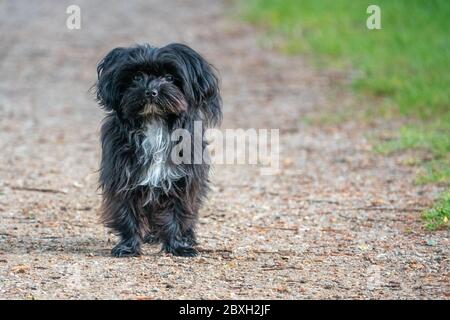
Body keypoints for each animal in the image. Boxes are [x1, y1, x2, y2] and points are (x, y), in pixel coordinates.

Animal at [95, 43, 221, 258]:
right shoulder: (122, 179)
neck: (155, 123)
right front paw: (128, 246)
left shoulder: (181, 182)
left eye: (169, 77)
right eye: (137, 77)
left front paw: (178, 246)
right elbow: (127, 213)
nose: (150, 91)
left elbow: (177, 215)